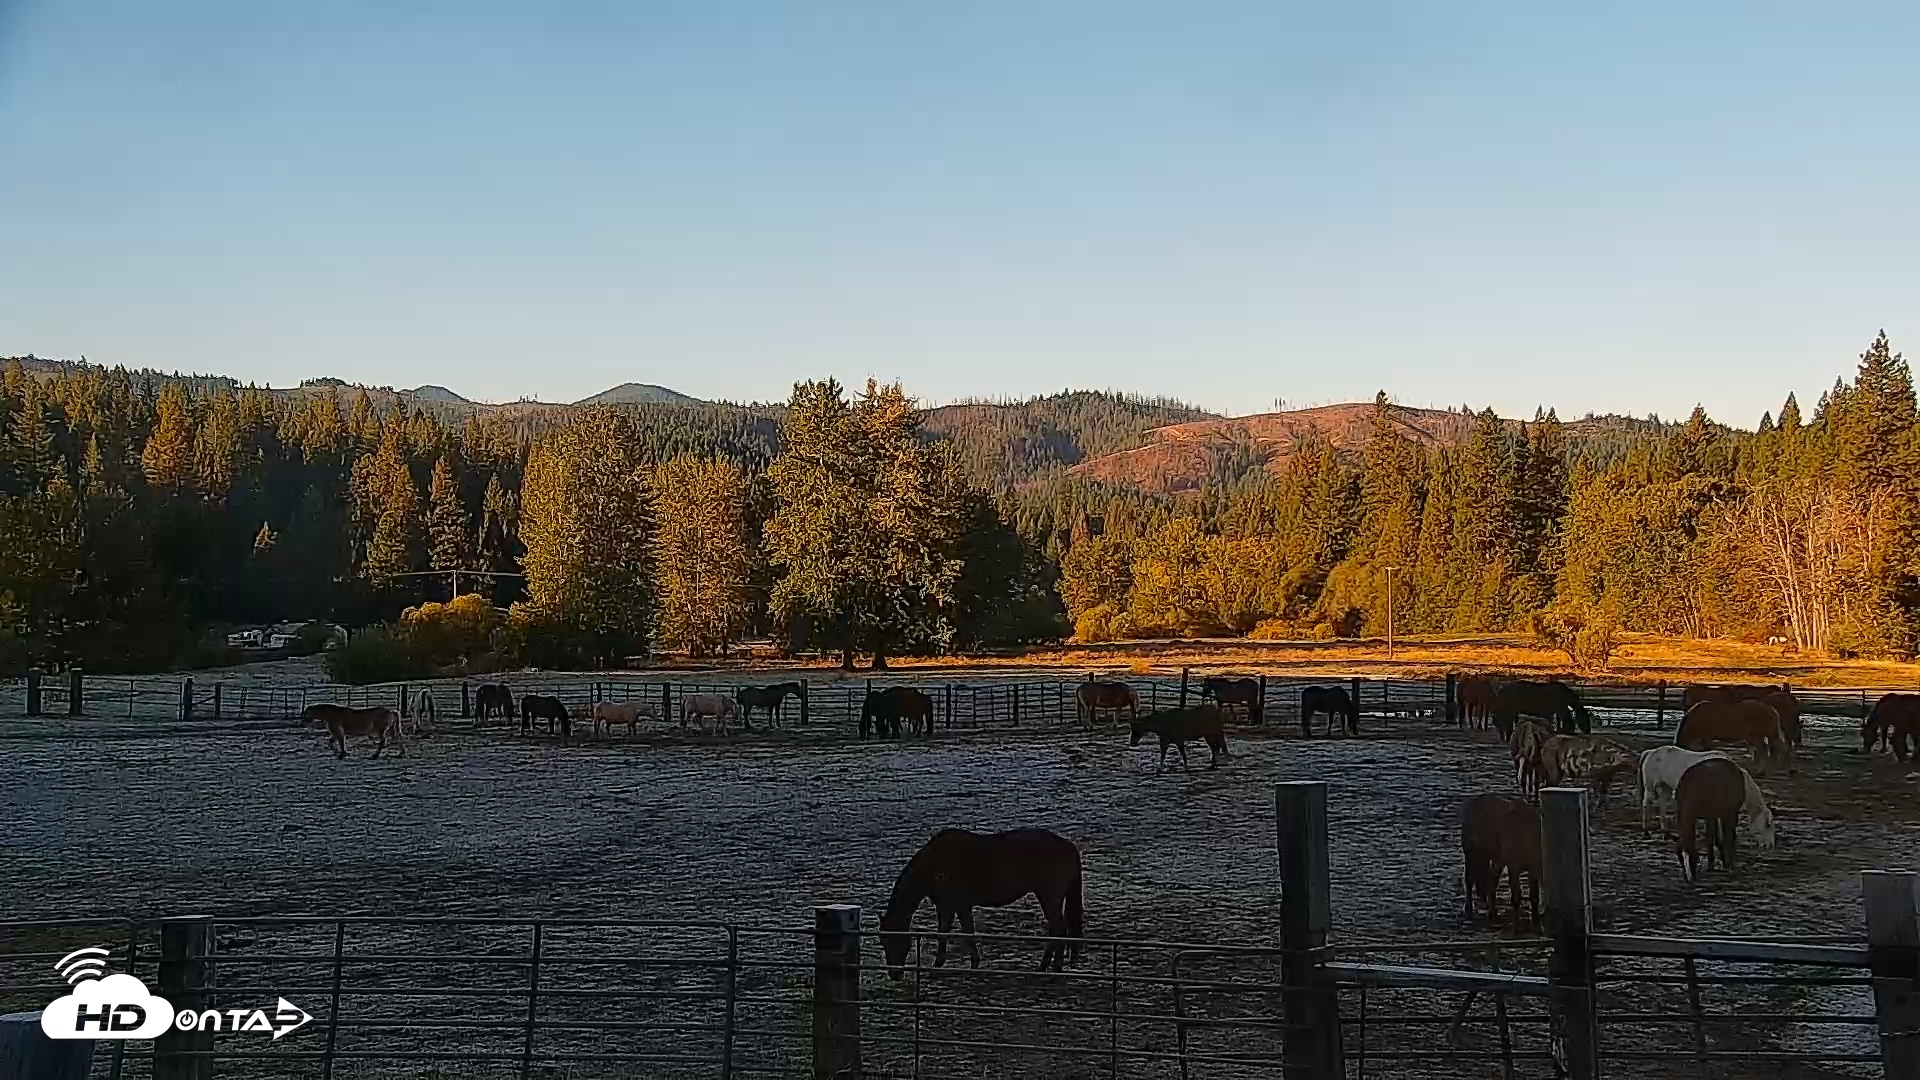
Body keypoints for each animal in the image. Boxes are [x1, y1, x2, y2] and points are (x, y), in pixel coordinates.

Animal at [878, 828, 1085, 978]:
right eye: (883, 942)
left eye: (895, 940)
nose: (894, 975)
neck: (935, 863)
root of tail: (1068, 845)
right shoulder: (955, 906)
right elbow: (958, 931)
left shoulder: (951, 905)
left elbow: (952, 932)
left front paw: (947, 964)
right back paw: (1051, 966)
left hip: (1048, 897)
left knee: (1058, 928)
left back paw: (1048, 966)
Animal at [1458, 795, 1539, 927]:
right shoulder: (1513, 867)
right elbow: (1516, 896)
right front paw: (1516, 926)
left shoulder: (1533, 868)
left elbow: (1534, 895)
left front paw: (1536, 921)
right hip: (1472, 854)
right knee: (1469, 880)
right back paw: (1469, 908)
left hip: (1493, 859)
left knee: (1490, 880)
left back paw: (1493, 914)